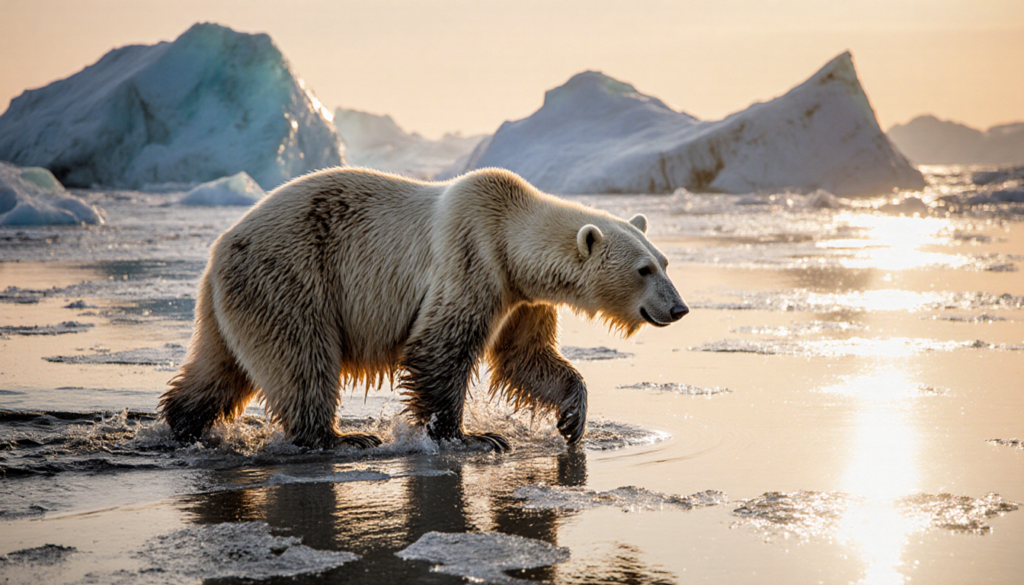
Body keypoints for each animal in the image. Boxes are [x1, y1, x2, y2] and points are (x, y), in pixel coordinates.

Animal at [159, 167, 688, 451]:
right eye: (644, 269)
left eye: (665, 262)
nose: (679, 308)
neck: (511, 238)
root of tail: (219, 247)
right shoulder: (472, 257)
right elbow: (440, 348)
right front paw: (473, 437)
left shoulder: (521, 297)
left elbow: (525, 357)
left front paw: (573, 418)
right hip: (293, 274)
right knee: (301, 357)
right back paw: (340, 436)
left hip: (236, 300)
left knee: (219, 368)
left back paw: (182, 423)